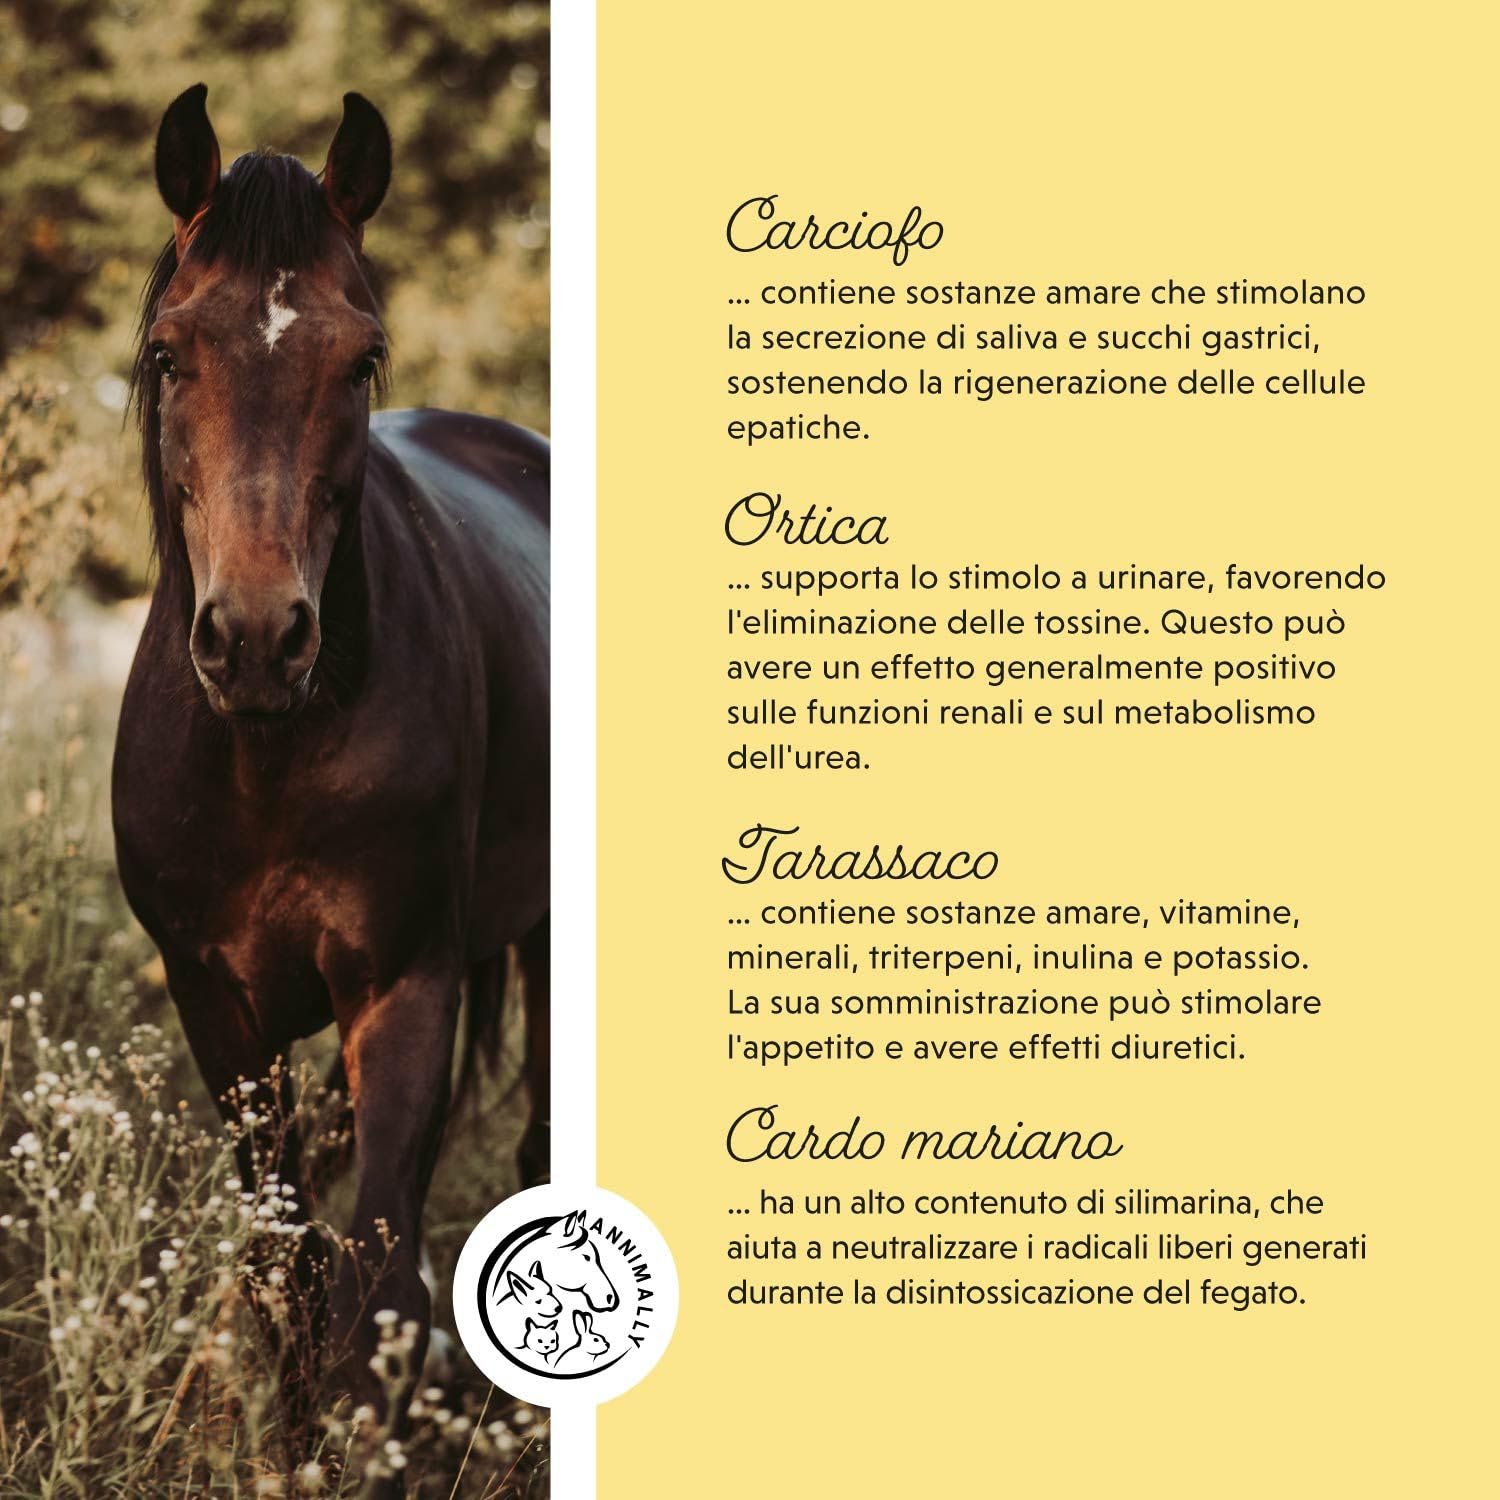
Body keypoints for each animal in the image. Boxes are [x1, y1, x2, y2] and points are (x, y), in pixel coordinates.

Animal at [111, 83, 550, 1442]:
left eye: (360, 357)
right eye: (167, 355)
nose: (257, 638)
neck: (267, 754)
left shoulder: (405, 989)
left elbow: (377, 1286)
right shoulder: (218, 1007)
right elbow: (287, 1271)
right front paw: (299, 1446)